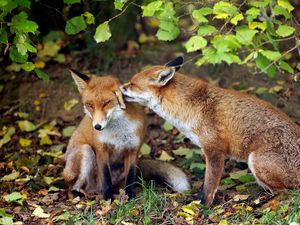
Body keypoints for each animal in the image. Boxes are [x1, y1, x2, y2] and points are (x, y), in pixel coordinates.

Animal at [62, 68, 191, 199]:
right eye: (89, 105)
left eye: (106, 103)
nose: (97, 127)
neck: (118, 133)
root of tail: (94, 189)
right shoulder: (101, 149)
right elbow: (105, 177)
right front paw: (108, 198)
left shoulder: (133, 149)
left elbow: (130, 177)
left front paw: (130, 196)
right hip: (86, 151)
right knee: (72, 187)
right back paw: (78, 193)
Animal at [119, 56, 300, 206]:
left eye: (132, 84)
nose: (120, 87)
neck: (191, 108)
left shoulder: (215, 151)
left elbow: (209, 186)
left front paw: (202, 206)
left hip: (255, 161)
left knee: (285, 192)